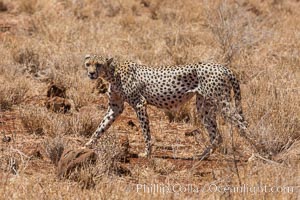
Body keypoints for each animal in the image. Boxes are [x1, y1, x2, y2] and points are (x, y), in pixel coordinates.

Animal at [83, 54, 250, 159]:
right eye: (88, 64)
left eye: (98, 64)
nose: (91, 73)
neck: (112, 73)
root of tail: (222, 66)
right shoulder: (115, 107)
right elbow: (101, 127)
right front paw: (88, 144)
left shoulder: (140, 103)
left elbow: (146, 132)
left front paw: (147, 153)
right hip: (204, 106)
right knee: (216, 136)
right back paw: (201, 156)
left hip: (223, 102)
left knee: (243, 124)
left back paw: (254, 155)